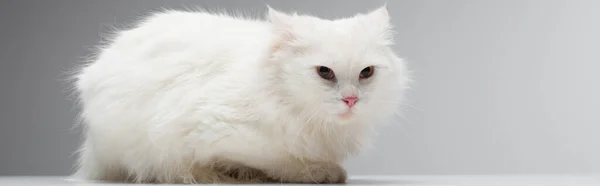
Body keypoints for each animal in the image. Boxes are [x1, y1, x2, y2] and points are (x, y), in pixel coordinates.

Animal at [68, 5, 410, 184]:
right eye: (325, 72)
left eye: (367, 73)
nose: (351, 99)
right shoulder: (215, 130)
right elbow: (282, 160)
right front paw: (321, 172)